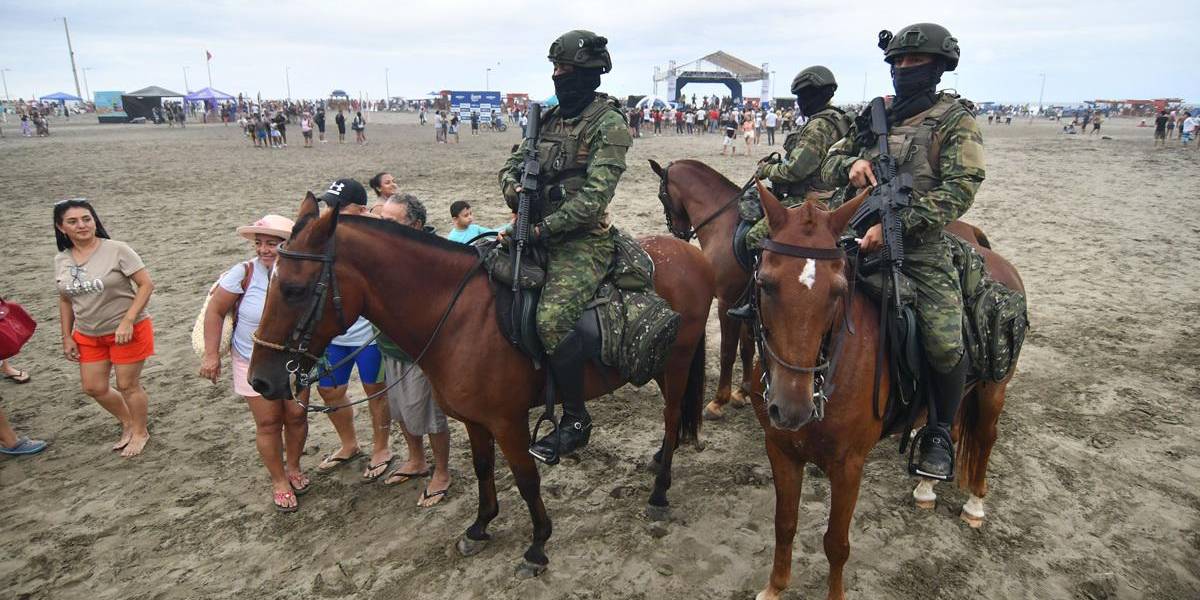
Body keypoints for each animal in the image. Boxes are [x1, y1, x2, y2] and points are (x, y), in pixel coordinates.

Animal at [246, 195, 710, 576]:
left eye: (294, 289)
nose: (260, 380)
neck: (458, 316)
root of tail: (691, 254)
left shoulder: (508, 422)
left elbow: (526, 478)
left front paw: (537, 546)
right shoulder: (474, 419)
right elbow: (484, 468)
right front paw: (480, 526)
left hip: (677, 363)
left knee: (671, 420)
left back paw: (659, 493)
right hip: (658, 366)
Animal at [652, 158, 998, 422]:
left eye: (662, 196)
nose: (678, 232)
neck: (724, 223)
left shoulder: (726, 301)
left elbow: (728, 351)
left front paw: (720, 400)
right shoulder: (750, 302)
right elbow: (749, 347)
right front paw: (742, 391)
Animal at [748, 183, 1022, 600]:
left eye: (838, 290)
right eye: (765, 282)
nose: (791, 408)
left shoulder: (849, 466)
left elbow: (836, 543)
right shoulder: (781, 450)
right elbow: (785, 523)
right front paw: (775, 587)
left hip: (991, 393)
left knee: (986, 437)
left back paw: (975, 503)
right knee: (949, 427)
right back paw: (928, 480)